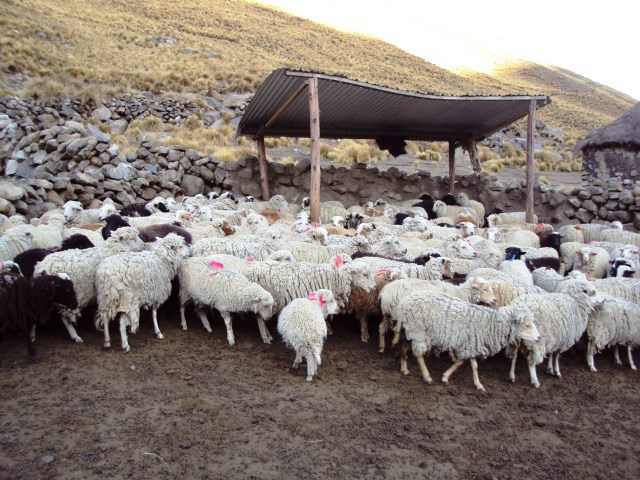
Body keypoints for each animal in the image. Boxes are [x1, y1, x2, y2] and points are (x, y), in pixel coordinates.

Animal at [396, 291, 540, 390]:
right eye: (527, 325)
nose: (538, 338)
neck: (490, 324)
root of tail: (404, 302)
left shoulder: (472, 344)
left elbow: (471, 365)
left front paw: (478, 384)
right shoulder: (469, 344)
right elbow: (462, 363)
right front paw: (445, 376)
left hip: (412, 331)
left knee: (403, 347)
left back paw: (404, 369)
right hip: (419, 331)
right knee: (418, 355)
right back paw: (427, 377)